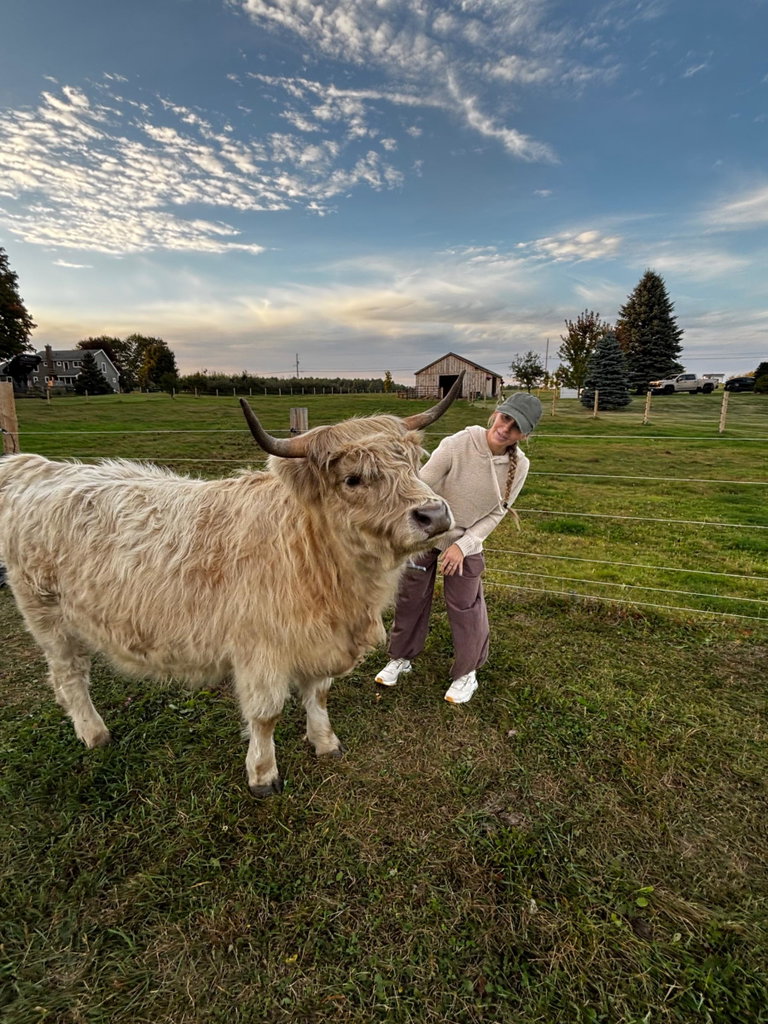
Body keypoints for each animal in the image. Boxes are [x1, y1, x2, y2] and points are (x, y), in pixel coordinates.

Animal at [0, 377, 463, 796]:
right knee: (69, 675)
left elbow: (319, 696)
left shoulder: (318, 641)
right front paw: (262, 774)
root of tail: (38, 467)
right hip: (47, 616)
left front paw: (325, 742)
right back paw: (94, 733)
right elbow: (266, 715)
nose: (434, 514)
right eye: (352, 479)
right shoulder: (259, 651)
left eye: (413, 463)